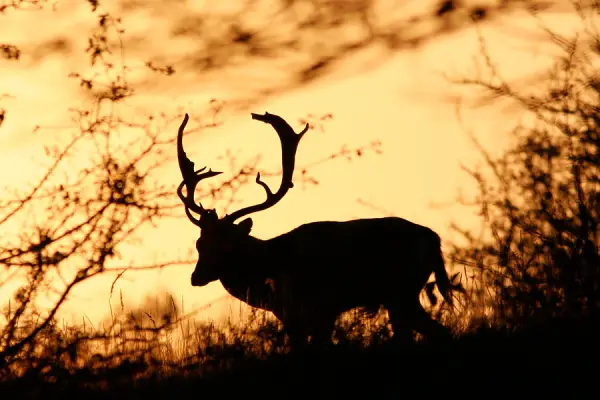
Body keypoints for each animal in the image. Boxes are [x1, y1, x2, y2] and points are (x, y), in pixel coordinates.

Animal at [176, 111, 462, 348]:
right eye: (199, 244)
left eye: (227, 244)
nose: (196, 277)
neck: (270, 266)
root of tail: (434, 239)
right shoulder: (292, 316)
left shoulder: (323, 306)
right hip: (401, 294)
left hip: (401, 290)